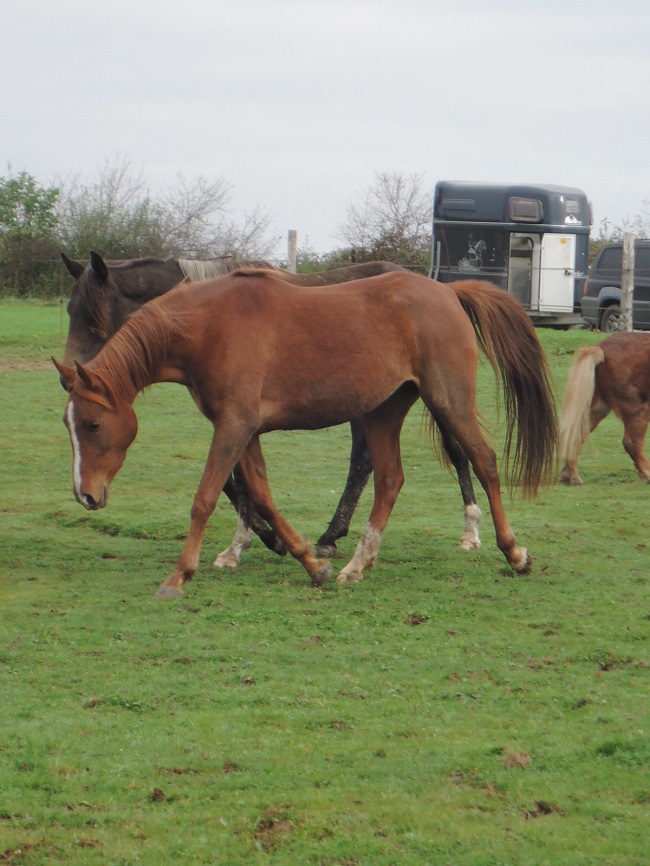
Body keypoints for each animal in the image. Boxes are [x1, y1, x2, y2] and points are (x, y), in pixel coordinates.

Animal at [53, 268, 556, 592]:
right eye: (68, 425)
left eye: (93, 424)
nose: (86, 495)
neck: (208, 326)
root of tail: (448, 292)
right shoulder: (244, 430)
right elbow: (258, 495)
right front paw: (310, 563)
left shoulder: (233, 426)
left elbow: (206, 497)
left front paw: (179, 575)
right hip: (383, 413)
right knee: (390, 480)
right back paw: (357, 563)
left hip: (449, 401)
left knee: (482, 461)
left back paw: (513, 553)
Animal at [556, 328, 648, 482]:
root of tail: (601, 348)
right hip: (637, 407)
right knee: (631, 443)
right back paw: (647, 474)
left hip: (599, 407)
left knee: (577, 433)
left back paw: (570, 475)